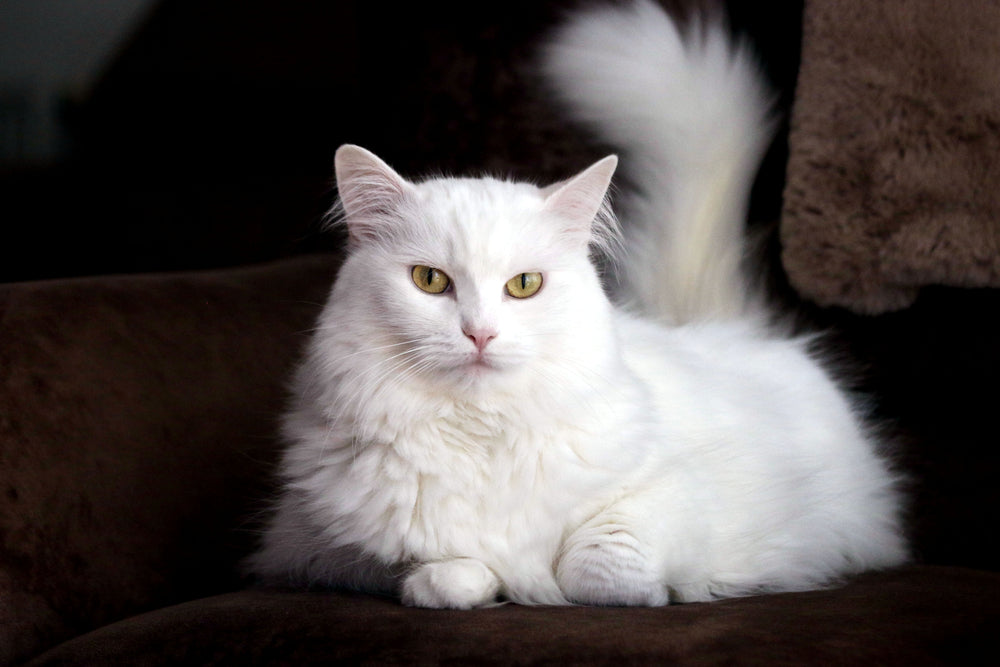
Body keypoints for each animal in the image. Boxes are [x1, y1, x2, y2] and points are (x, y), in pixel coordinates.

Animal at [248, 0, 908, 612]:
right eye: (431, 280)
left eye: (523, 286)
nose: (479, 334)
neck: (480, 435)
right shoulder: (310, 546)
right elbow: (441, 569)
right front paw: (469, 584)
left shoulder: (682, 494)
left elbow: (596, 566)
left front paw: (661, 592)